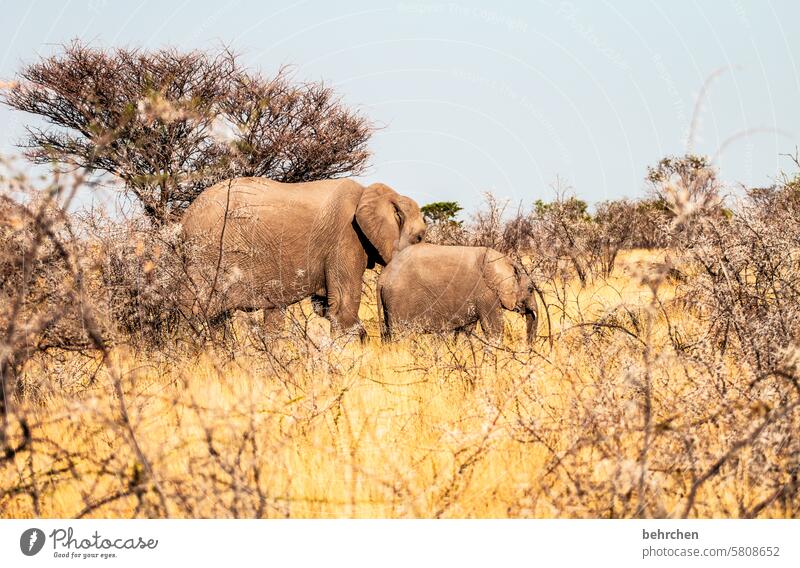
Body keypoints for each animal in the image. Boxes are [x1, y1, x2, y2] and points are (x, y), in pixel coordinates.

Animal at [179, 178, 428, 338]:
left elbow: (325, 309)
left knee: (218, 318)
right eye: (419, 237)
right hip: (207, 253)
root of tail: (185, 218)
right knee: (196, 311)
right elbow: (342, 309)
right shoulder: (346, 237)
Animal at [378, 243, 540, 344]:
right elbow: (494, 328)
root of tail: (382, 277)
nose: (528, 347)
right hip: (399, 300)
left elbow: (466, 330)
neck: (506, 261)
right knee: (401, 334)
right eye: (530, 289)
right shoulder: (486, 293)